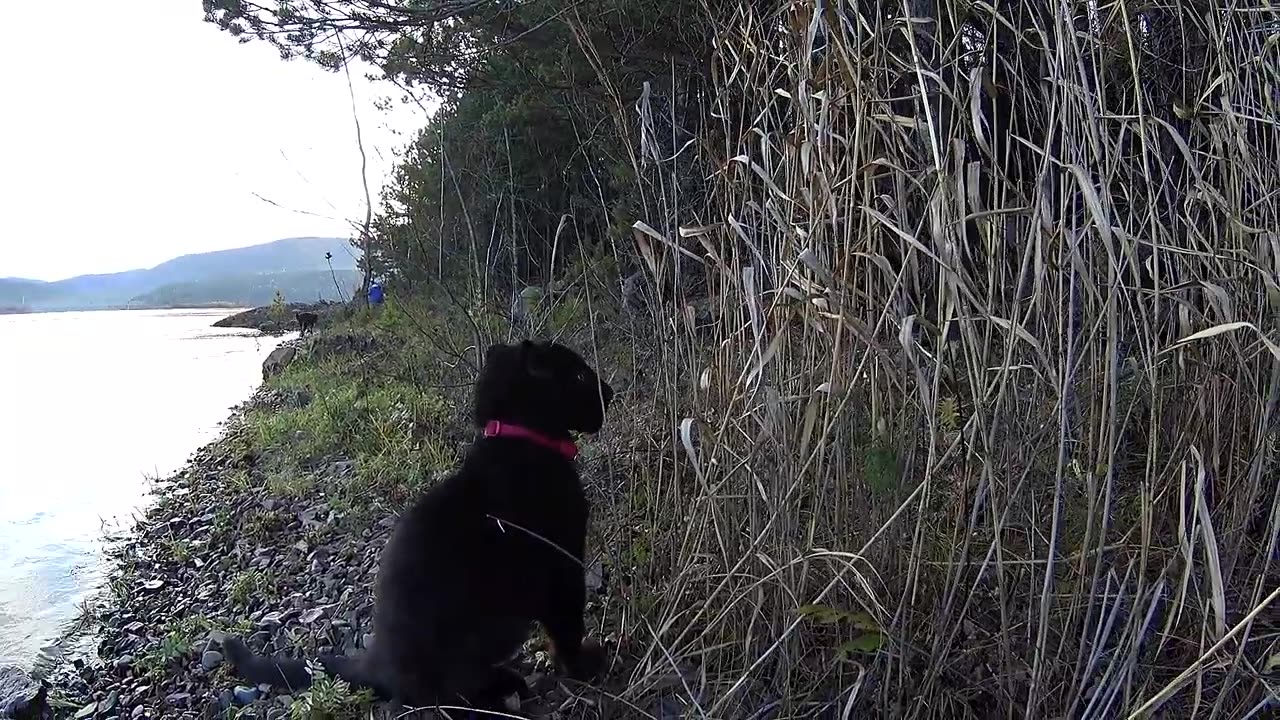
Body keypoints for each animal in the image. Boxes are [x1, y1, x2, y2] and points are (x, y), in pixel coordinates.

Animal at [220, 338, 614, 707]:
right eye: (580, 376)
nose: (609, 393)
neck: (520, 440)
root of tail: (375, 663)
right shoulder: (563, 565)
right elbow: (567, 629)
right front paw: (583, 668)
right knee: (449, 693)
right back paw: (504, 689)